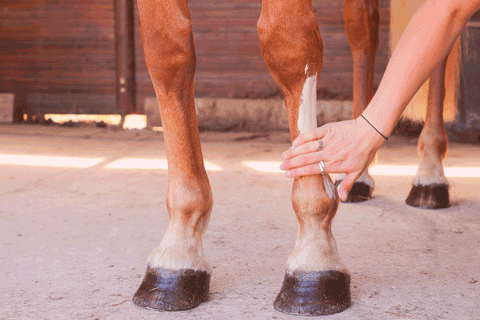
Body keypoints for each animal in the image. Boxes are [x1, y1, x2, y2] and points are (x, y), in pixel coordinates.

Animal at [129, 0, 456, 316]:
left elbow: (289, 45)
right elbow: (166, 51)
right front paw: (177, 251)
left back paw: (430, 174)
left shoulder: (292, 45)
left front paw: (314, 251)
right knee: (363, 27)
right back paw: (360, 177)